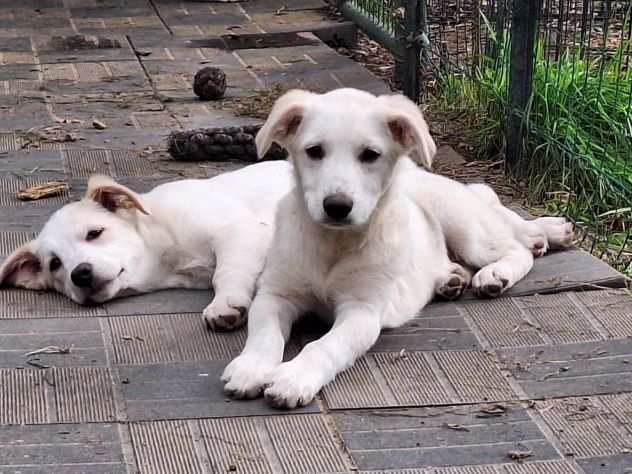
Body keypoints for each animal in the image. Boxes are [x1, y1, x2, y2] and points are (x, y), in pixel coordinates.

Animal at [0, 161, 292, 332]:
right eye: (55, 264)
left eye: (94, 233)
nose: (80, 274)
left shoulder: (240, 230)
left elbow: (226, 271)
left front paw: (225, 304)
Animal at [222, 88, 572, 408]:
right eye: (314, 151)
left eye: (370, 154)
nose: (337, 206)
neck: (333, 243)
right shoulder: (275, 295)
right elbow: (264, 335)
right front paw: (251, 368)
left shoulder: (362, 310)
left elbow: (325, 346)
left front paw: (294, 377)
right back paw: (451, 278)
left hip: (464, 226)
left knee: (514, 246)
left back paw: (500, 270)